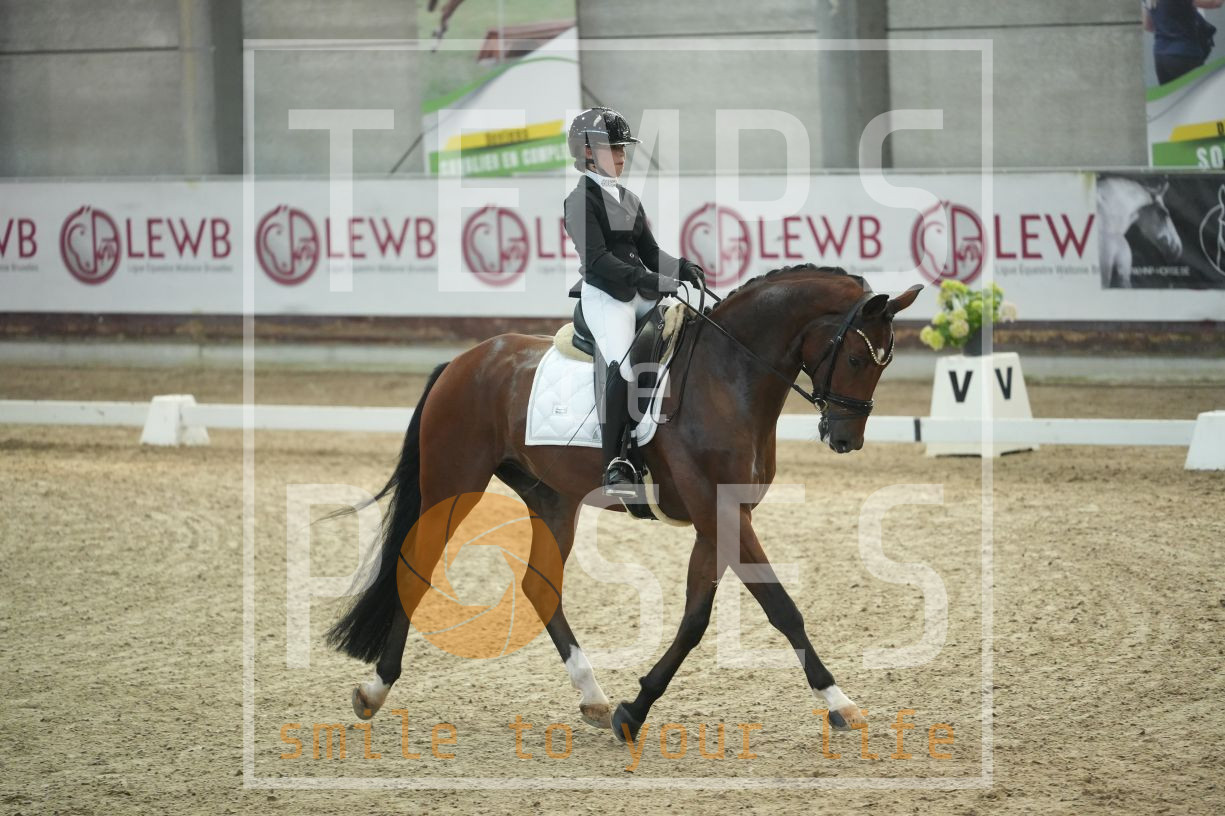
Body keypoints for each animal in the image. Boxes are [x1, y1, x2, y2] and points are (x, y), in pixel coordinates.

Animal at [325, 264, 922, 743]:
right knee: (416, 569)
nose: (845, 439)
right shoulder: (719, 512)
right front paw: (840, 703)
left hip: (552, 497)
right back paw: (374, 690)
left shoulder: (721, 517)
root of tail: (463, 361)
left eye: (884, 363)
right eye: (855, 357)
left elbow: (695, 619)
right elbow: (781, 607)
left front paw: (634, 710)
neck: (729, 374)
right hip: (454, 482)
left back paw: (593, 698)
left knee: (540, 584)